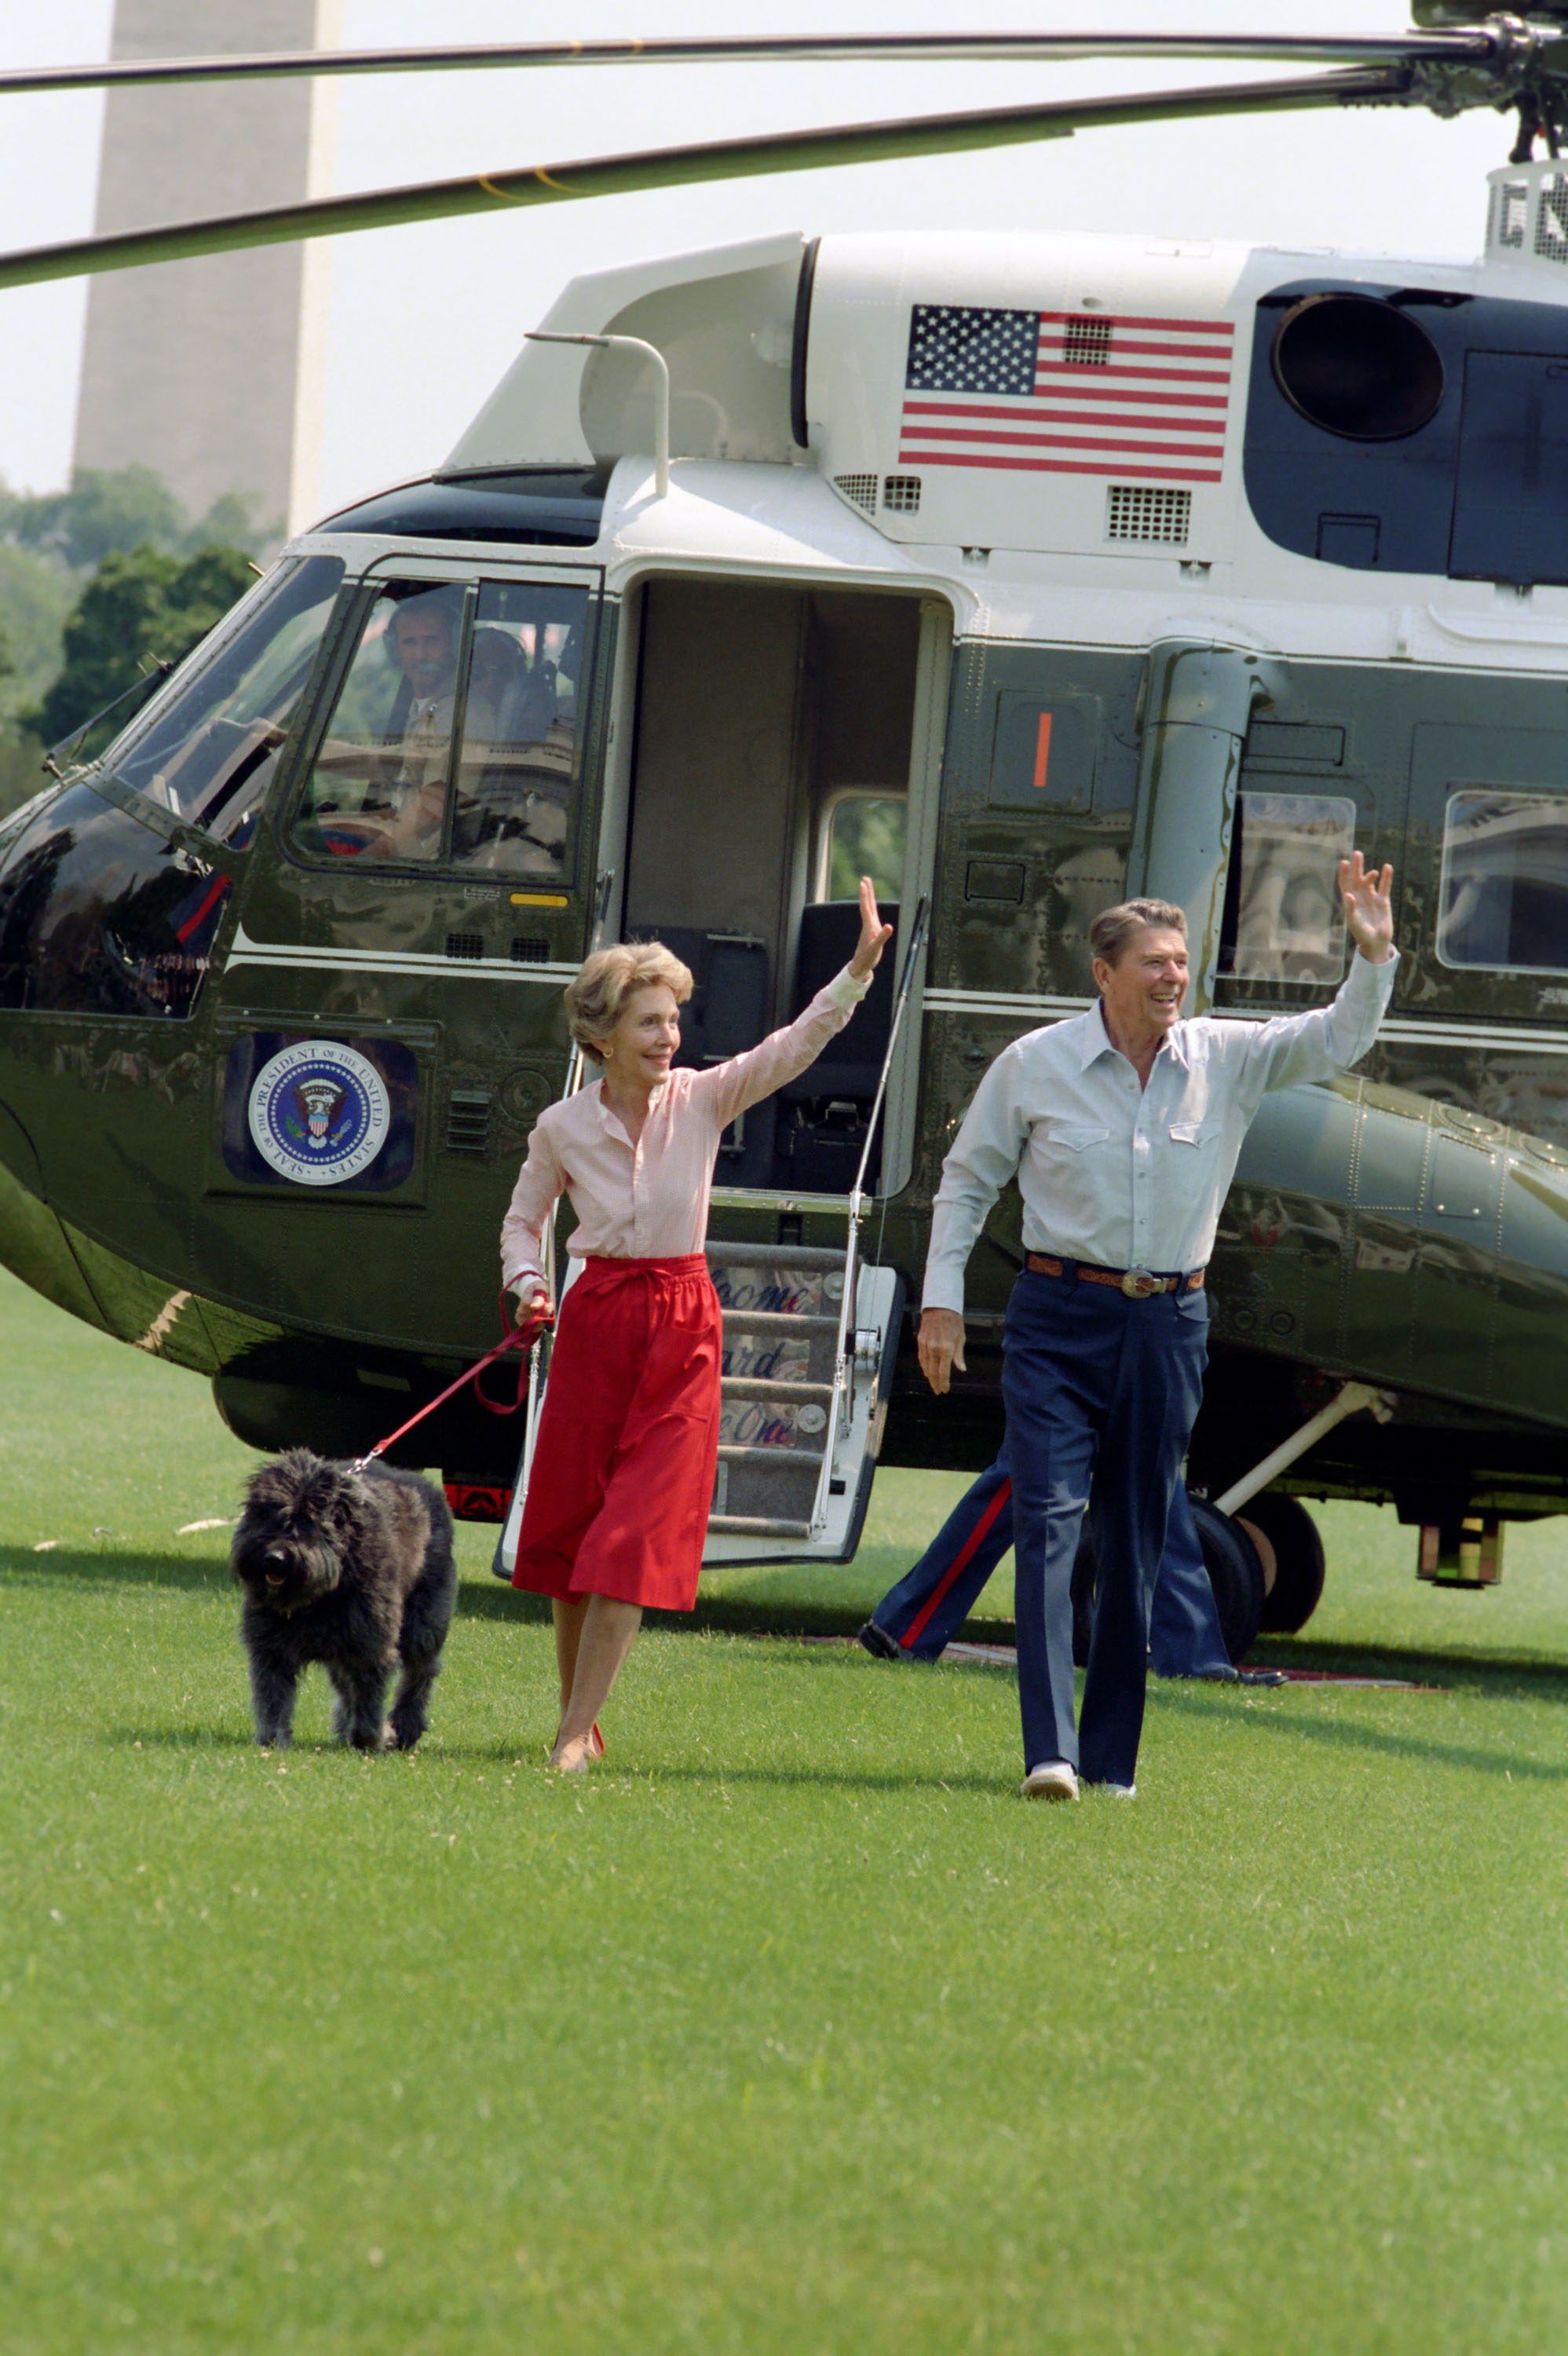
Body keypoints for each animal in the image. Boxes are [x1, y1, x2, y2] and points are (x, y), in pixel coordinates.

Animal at [230, 1442, 459, 1762]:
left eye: (306, 1519)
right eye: (263, 1514)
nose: (273, 1557)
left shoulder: (370, 1646)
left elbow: (369, 1703)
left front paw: (373, 1740)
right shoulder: (271, 1648)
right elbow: (272, 1699)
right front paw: (272, 1741)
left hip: (423, 1626)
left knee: (420, 1674)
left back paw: (405, 1727)